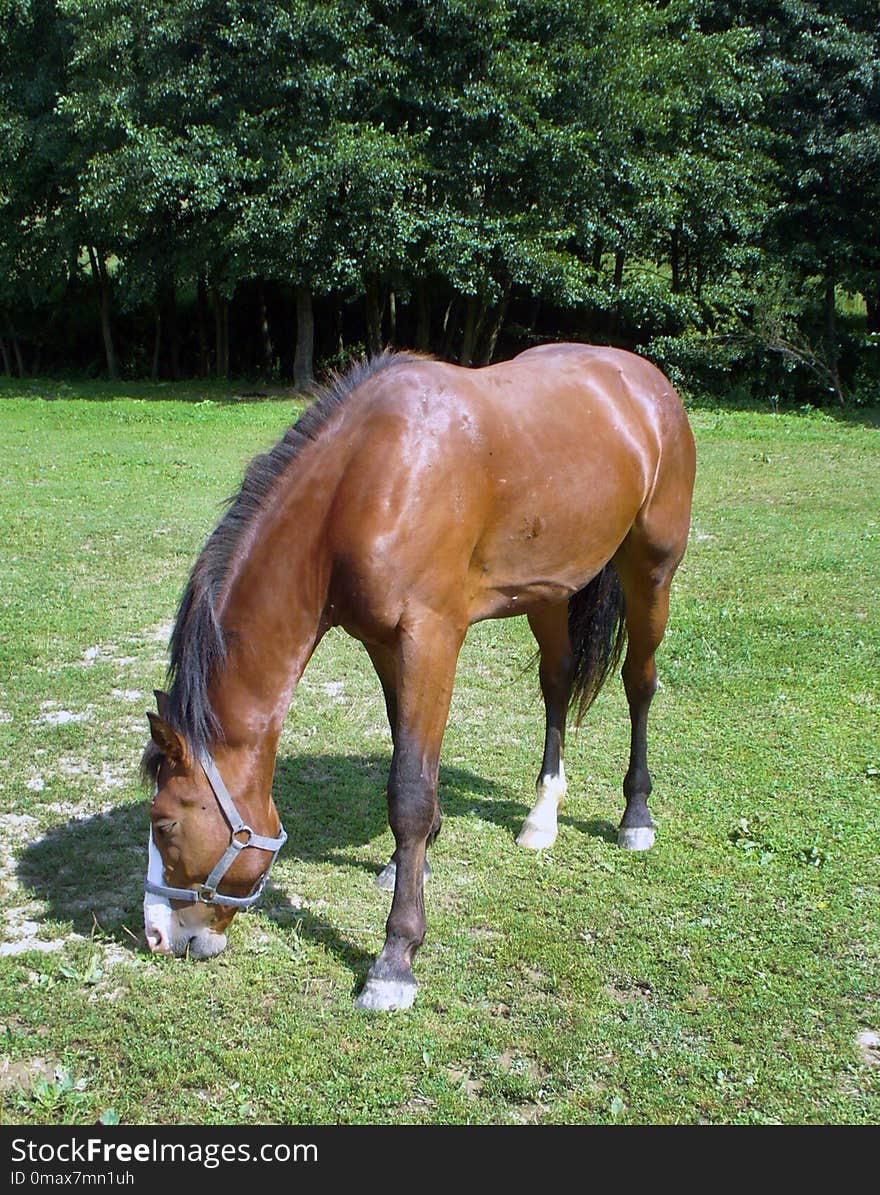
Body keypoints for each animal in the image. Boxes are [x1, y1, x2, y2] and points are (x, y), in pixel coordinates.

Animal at [142, 344, 693, 1008]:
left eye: (166, 822)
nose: (156, 936)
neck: (365, 485)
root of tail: (643, 380)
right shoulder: (385, 644)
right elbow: (410, 760)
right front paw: (415, 858)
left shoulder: (429, 639)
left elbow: (408, 789)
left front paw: (395, 957)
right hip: (549, 590)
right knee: (557, 684)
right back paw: (542, 816)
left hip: (651, 568)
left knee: (640, 681)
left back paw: (635, 816)